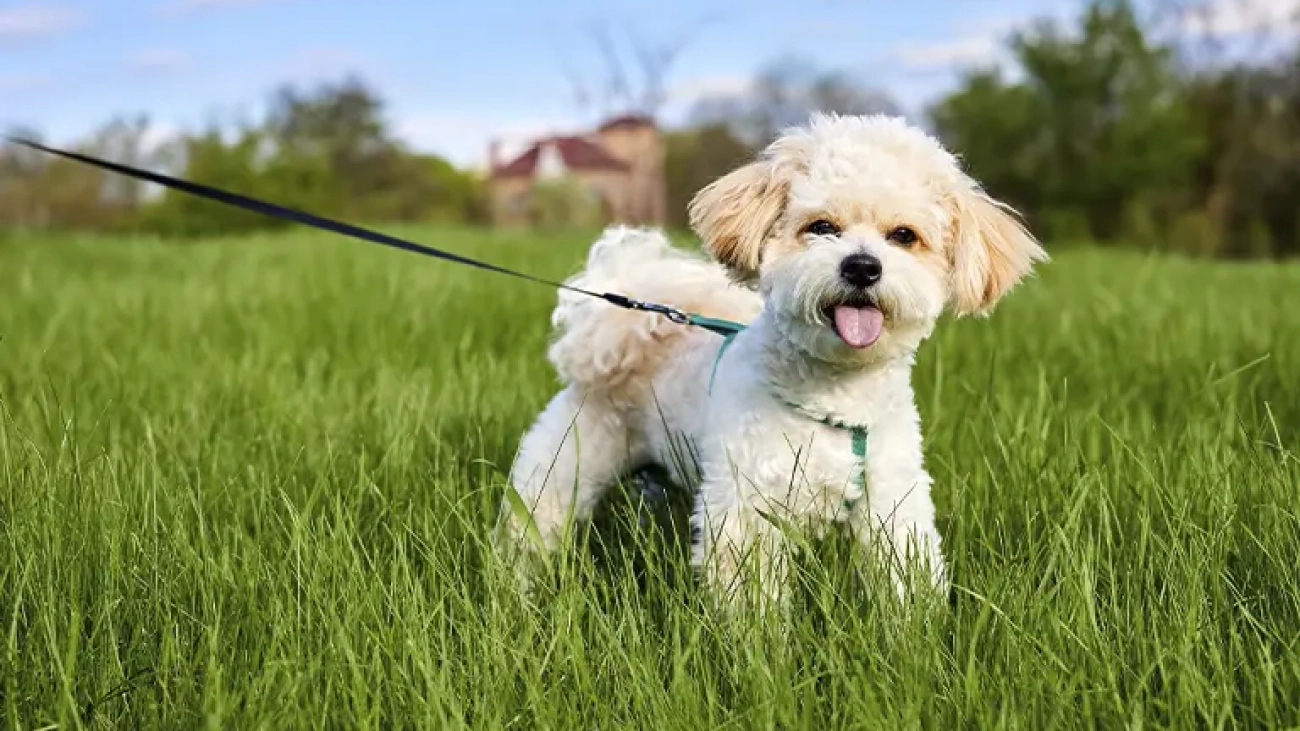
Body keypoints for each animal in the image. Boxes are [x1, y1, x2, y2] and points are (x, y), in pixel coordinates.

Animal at [493, 113, 1045, 603]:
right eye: (821, 227)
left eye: (904, 235)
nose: (862, 266)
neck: (835, 401)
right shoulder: (746, 509)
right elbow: (752, 602)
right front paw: (757, 650)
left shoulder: (892, 502)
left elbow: (905, 579)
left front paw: (914, 635)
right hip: (560, 468)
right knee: (530, 530)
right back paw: (519, 594)